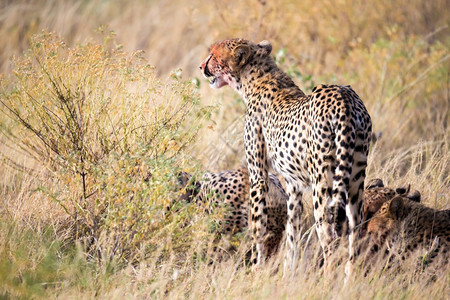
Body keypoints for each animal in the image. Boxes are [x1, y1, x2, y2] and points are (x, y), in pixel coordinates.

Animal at [200, 38, 372, 276]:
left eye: (214, 55)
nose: (201, 66)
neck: (255, 78)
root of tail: (343, 97)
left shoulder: (258, 176)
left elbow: (258, 228)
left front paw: (256, 269)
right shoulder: (293, 184)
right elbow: (292, 232)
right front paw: (288, 273)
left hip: (322, 183)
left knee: (328, 239)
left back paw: (326, 280)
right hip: (356, 182)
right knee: (355, 238)